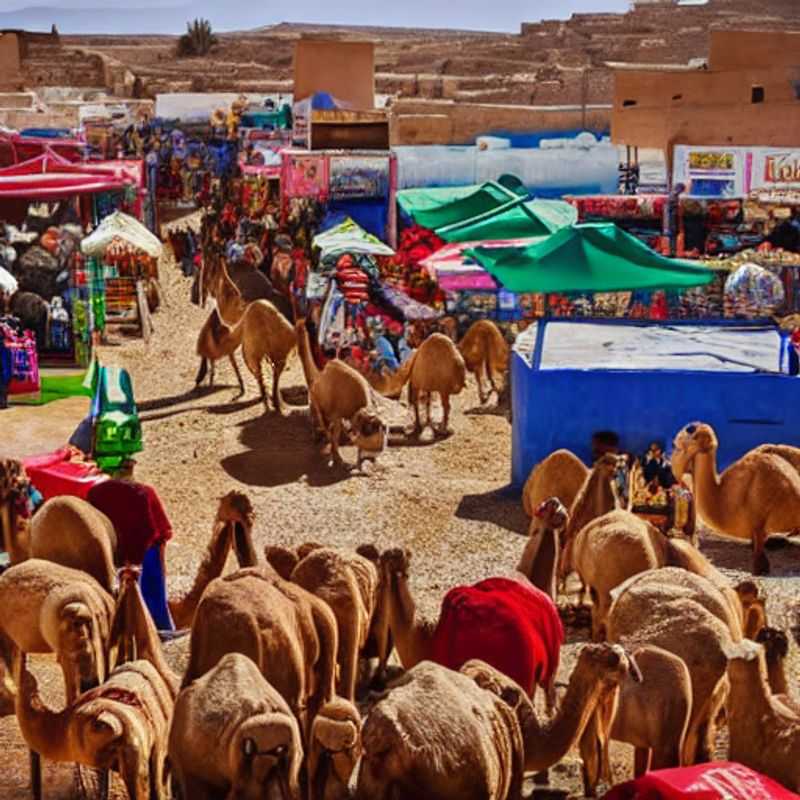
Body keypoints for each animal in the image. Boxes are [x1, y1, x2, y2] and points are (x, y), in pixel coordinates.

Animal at [296, 318, 388, 468]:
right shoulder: (337, 415)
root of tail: (318, 377)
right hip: (316, 402)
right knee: (319, 418)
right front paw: (337, 458)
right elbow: (334, 434)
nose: (371, 457)